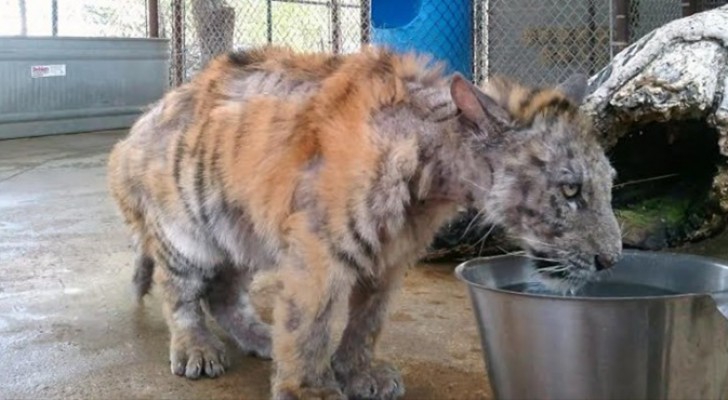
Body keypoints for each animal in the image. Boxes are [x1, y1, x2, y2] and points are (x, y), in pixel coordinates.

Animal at [106, 44, 620, 400]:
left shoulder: (388, 258)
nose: (611, 260)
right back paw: (197, 350)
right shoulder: (319, 251)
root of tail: (134, 131)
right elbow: (310, 323)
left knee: (223, 293)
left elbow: (366, 322)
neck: (433, 176)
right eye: (570, 190)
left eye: (608, 183)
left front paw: (357, 374)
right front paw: (310, 389)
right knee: (180, 293)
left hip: (241, 232)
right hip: (186, 231)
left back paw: (261, 337)